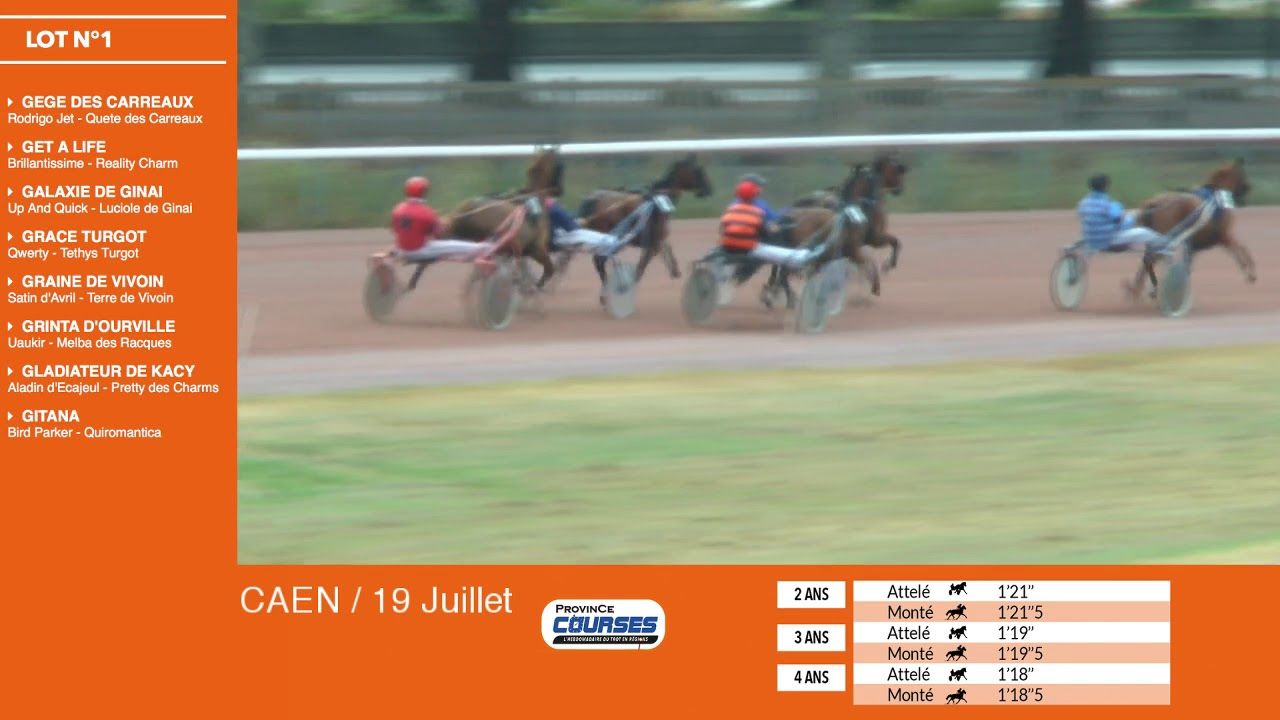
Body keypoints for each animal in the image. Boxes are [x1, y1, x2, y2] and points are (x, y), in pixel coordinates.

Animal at [440, 148, 565, 290]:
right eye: (560, 166)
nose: (559, 190)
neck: (532, 200)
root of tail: (463, 211)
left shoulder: (517, 251)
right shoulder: (537, 248)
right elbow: (549, 269)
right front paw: (534, 287)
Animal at [577, 153, 714, 285]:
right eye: (698, 170)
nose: (708, 189)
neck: (658, 202)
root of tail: (594, 198)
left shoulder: (658, 241)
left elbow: (667, 255)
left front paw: (676, 272)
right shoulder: (653, 245)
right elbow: (641, 268)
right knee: (599, 260)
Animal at [1128, 157, 1255, 299]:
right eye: (1242, 173)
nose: (1248, 188)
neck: (1216, 199)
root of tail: (1154, 202)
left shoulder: (1195, 246)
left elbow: (1187, 267)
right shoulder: (1225, 237)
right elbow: (1242, 250)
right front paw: (1250, 273)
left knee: (1147, 261)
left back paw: (1139, 290)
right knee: (1149, 260)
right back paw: (1148, 289)